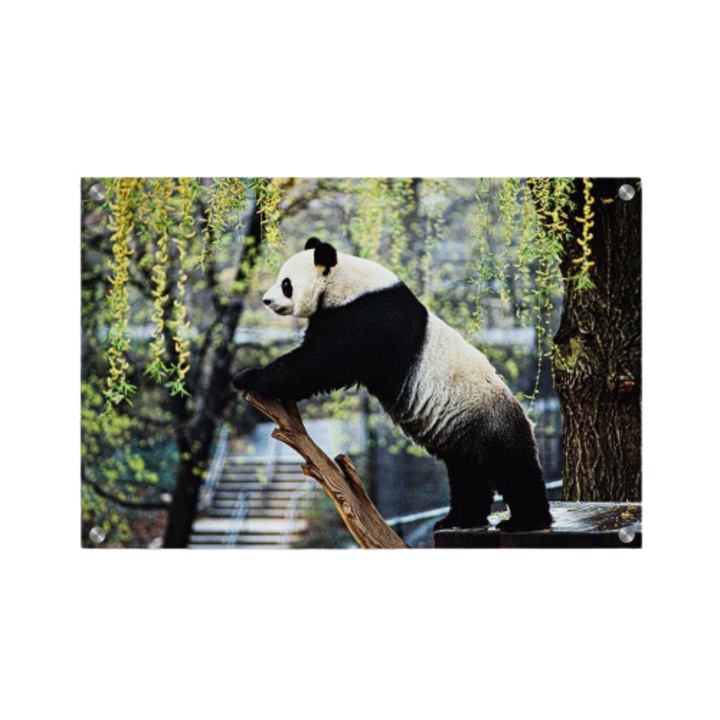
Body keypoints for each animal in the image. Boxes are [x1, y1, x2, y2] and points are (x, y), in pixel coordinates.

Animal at [233, 237, 553, 532]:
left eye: (286, 283)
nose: (266, 300)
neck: (346, 282)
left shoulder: (368, 318)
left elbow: (319, 362)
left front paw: (249, 377)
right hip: (461, 430)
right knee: (466, 473)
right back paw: (460, 519)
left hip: (488, 419)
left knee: (511, 467)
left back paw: (525, 521)